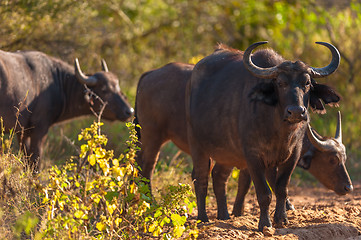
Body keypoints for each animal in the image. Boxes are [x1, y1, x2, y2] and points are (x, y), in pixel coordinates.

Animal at [0, 50, 133, 171]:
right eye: (104, 90)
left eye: (118, 87)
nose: (129, 111)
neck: (59, 83)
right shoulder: (39, 130)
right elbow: (35, 162)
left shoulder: (22, 132)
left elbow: (27, 162)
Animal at [134, 61, 352, 220]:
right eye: (332, 160)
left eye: (344, 159)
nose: (348, 187)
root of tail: (149, 74)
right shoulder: (254, 156)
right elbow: (262, 184)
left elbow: (253, 182)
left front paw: (240, 211)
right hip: (154, 137)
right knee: (149, 167)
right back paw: (154, 203)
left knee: (216, 175)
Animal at [186, 41, 340, 231]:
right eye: (280, 83)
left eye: (307, 83)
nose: (296, 111)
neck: (279, 129)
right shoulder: (253, 156)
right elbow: (264, 193)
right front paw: (265, 224)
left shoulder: (292, 155)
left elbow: (281, 188)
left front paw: (281, 219)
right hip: (197, 146)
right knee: (200, 178)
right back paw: (203, 218)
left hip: (227, 154)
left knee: (218, 176)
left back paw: (224, 216)